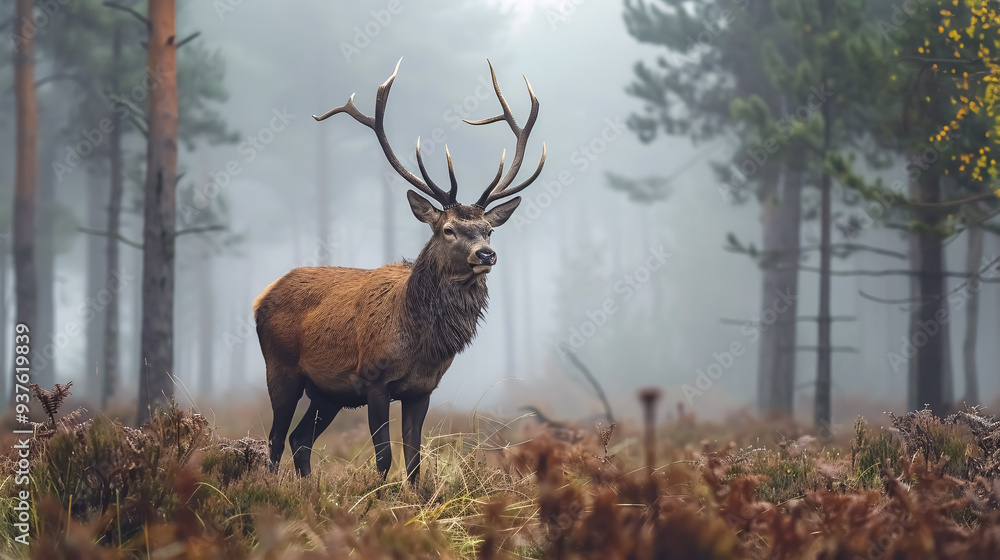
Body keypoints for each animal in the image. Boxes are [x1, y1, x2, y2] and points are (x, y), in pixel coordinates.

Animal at [254, 59, 546, 482]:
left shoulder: (421, 390)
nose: (487, 254)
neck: (420, 343)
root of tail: (261, 297)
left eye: (489, 229)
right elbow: (383, 458)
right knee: (275, 439)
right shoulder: (374, 381)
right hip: (281, 368)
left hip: (328, 393)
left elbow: (413, 461)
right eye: (448, 229)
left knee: (299, 439)